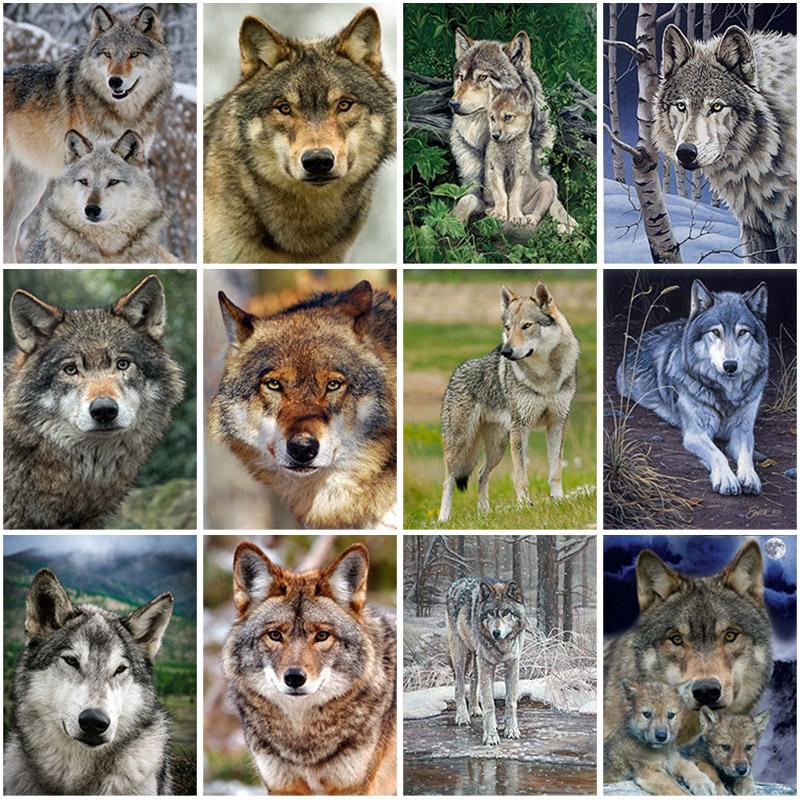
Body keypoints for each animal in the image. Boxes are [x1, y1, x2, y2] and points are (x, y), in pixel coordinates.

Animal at [222, 542, 396, 794]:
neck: (303, 740)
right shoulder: (282, 787)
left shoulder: (352, 787)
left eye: (322, 636)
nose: (294, 678)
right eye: (275, 635)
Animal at [438, 283, 579, 523]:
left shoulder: (558, 423)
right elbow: (520, 475)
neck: (545, 377)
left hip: (498, 447)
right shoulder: (521, 428)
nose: (505, 351)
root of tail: (455, 372)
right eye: (507, 328)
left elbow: (555, 471)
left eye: (526, 326)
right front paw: (524, 506)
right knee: (449, 480)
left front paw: (559, 500)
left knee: (480, 475)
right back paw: (443, 519)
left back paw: (484, 512)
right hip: (462, 444)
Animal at [446, 576, 526, 746]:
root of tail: (458, 581)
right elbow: (490, 704)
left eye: (506, 612)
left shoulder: (512, 664)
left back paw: (475, 709)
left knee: (473, 678)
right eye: (490, 613)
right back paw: (462, 716)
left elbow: (511, 701)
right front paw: (491, 736)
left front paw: (511, 730)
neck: (502, 645)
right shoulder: (487, 665)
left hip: (477, 660)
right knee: (459, 685)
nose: (496, 632)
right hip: (461, 655)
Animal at [485, 86, 577, 232]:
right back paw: (491, 210)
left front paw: (516, 216)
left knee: (539, 213)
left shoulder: (520, 173)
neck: (509, 150)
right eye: (492, 118)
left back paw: (530, 218)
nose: (495, 135)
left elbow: (514, 197)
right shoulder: (495, 169)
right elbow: (501, 195)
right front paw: (499, 213)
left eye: (508, 117)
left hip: (548, 188)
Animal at [617, 279, 769, 497]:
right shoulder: (696, 433)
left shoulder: (743, 430)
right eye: (715, 332)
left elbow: (746, 455)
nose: (730, 365)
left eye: (742, 332)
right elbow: (719, 454)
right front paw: (727, 478)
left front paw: (749, 476)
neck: (725, 395)